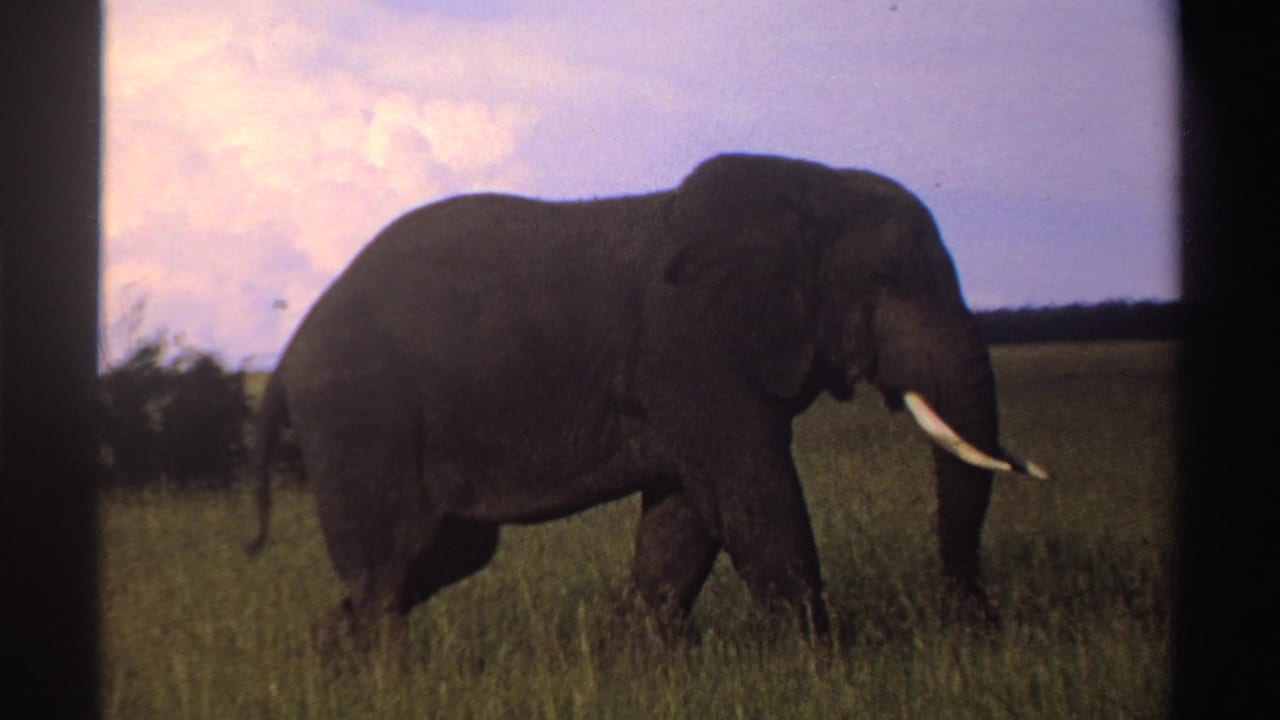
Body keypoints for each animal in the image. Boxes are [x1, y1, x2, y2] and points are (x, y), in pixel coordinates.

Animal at [246, 153, 1046, 647]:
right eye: (888, 281)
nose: (980, 624)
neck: (804, 186)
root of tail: (284, 360)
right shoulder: (691, 348)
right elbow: (756, 497)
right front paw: (833, 665)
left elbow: (685, 518)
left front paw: (643, 664)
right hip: (360, 414)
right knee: (394, 563)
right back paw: (385, 680)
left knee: (442, 555)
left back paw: (327, 661)